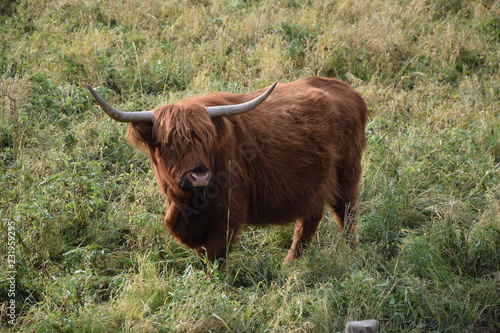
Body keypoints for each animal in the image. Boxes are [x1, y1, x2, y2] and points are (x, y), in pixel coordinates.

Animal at [87, 76, 368, 260]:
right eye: (168, 143)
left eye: (206, 139)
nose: (199, 174)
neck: (187, 203)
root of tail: (346, 90)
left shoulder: (227, 215)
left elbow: (215, 257)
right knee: (312, 216)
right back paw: (292, 263)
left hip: (347, 173)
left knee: (346, 213)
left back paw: (348, 254)